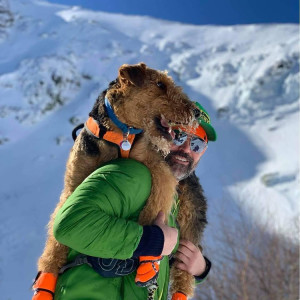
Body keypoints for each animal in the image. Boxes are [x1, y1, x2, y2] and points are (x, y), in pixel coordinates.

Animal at [35, 62, 207, 298]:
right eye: (160, 84)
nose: (196, 111)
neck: (122, 134)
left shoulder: (159, 171)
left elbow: (153, 210)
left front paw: (148, 263)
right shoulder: (73, 183)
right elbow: (55, 241)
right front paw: (45, 282)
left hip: (190, 217)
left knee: (184, 274)